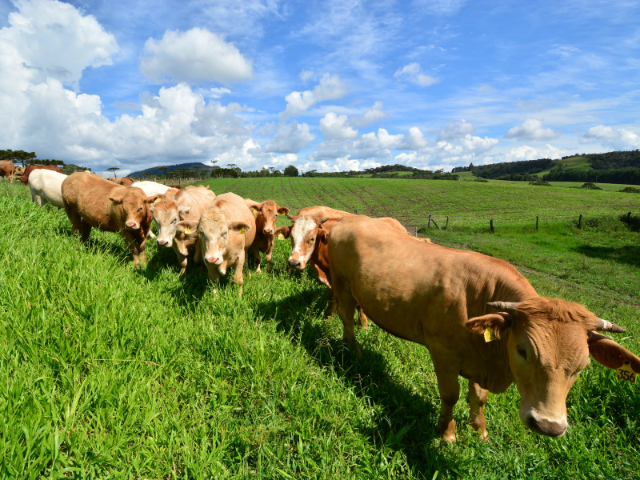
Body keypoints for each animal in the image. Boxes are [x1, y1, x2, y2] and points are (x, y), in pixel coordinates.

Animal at [278, 216, 412, 328]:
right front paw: (328, 319)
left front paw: (363, 325)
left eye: (312, 238)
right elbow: (333, 300)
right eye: (292, 237)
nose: (294, 263)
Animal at [330, 216, 640, 444]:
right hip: (341, 283)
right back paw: (352, 350)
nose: (549, 426)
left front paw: (479, 431)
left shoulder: (480, 358)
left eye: (583, 366)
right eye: (522, 350)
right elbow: (450, 395)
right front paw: (447, 434)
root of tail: (350, 220)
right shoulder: (443, 353)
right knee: (346, 317)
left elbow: (479, 397)